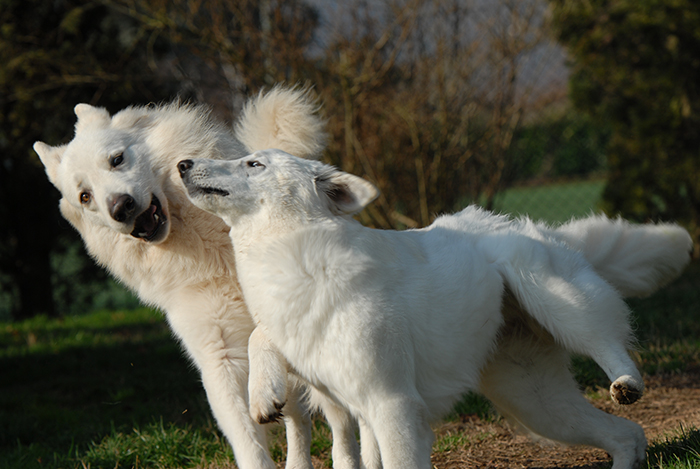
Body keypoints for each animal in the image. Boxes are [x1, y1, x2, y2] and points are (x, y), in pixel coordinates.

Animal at [178, 150, 692, 468]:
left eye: (253, 162)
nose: (182, 163)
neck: (296, 252)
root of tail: (531, 227)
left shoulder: (392, 405)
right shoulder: (355, 403)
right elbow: (259, 334)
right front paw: (262, 394)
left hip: (557, 302)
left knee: (609, 343)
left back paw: (626, 382)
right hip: (538, 404)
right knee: (628, 435)